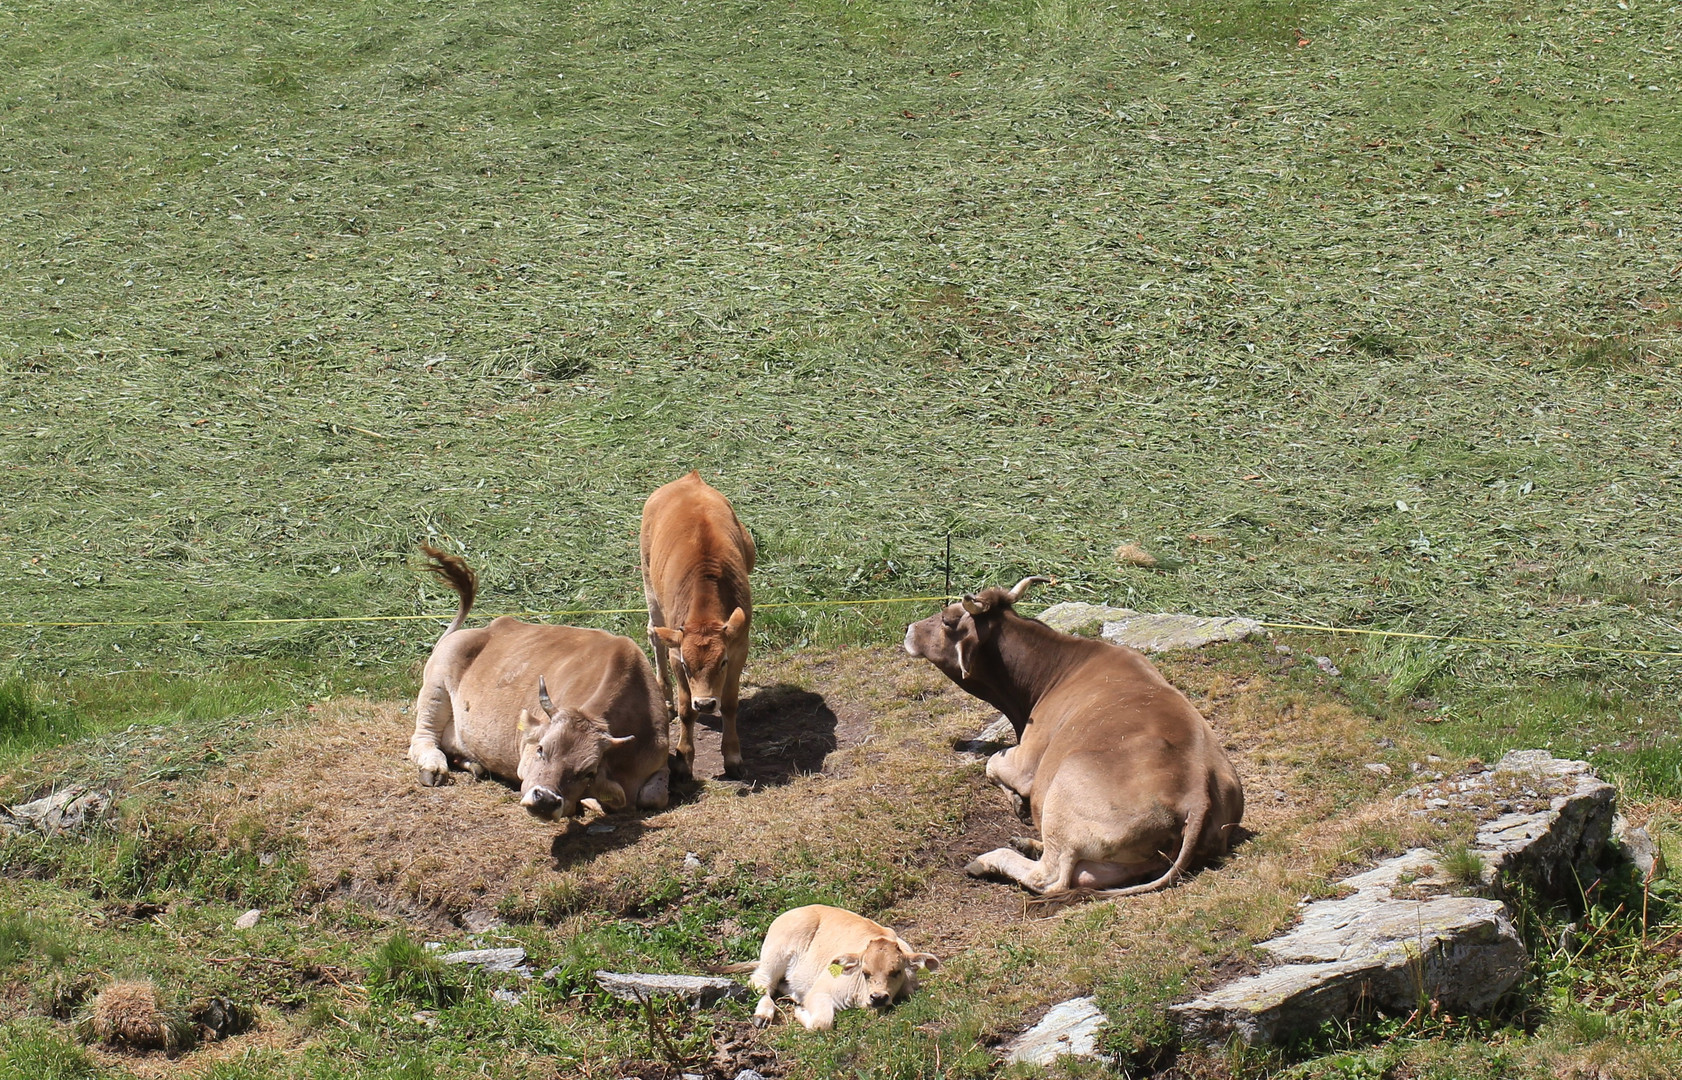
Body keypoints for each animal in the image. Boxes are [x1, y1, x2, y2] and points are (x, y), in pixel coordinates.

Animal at [407, 545, 669, 814]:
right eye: (541, 749)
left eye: (588, 772)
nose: (545, 800)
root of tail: (482, 629)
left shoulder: (660, 762)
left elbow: (654, 796)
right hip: (437, 683)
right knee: (423, 737)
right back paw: (433, 767)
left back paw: (473, 763)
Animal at [635, 467, 756, 773]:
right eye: (688, 666)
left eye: (722, 662)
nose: (705, 703)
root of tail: (689, 479)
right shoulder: (677, 653)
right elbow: (685, 709)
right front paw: (683, 758)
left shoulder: (739, 647)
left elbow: (730, 703)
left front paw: (733, 755)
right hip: (648, 582)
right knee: (654, 633)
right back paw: (664, 694)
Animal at [713, 901, 941, 1022]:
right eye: (864, 972)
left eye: (896, 972)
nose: (878, 997)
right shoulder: (820, 991)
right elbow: (822, 1021)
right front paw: (800, 1013)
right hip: (775, 955)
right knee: (761, 984)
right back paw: (764, 1014)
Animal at [901, 575, 1244, 894]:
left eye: (947, 619)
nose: (909, 628)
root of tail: (1197, 796)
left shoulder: (1027, 762)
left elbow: (992, 764)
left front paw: (1017, 802)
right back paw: (1028, 844)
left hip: (1062, 792)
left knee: (1051, 876)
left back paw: (989, 860)